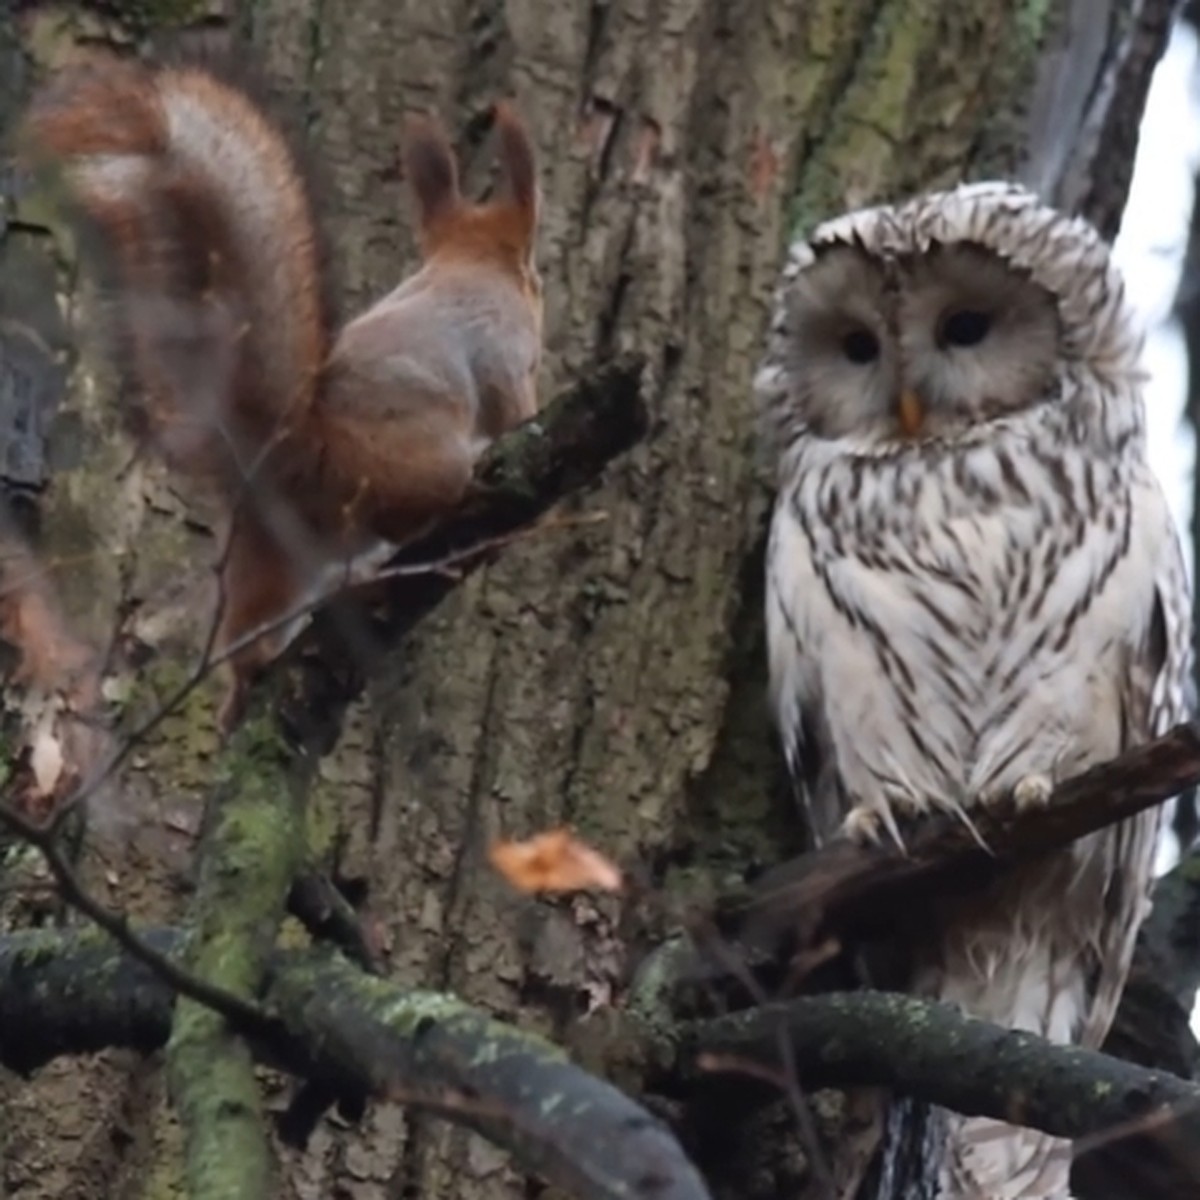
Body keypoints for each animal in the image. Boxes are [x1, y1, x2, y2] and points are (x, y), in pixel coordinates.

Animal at [21, 56, 544, 724]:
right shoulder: (503, 355)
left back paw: (244, 685)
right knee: (412, 512)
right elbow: (513, 408)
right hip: (418, 465)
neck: (468, 264)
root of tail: (294, 447)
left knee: (247, 629)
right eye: (536, 278)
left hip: (273, 554)